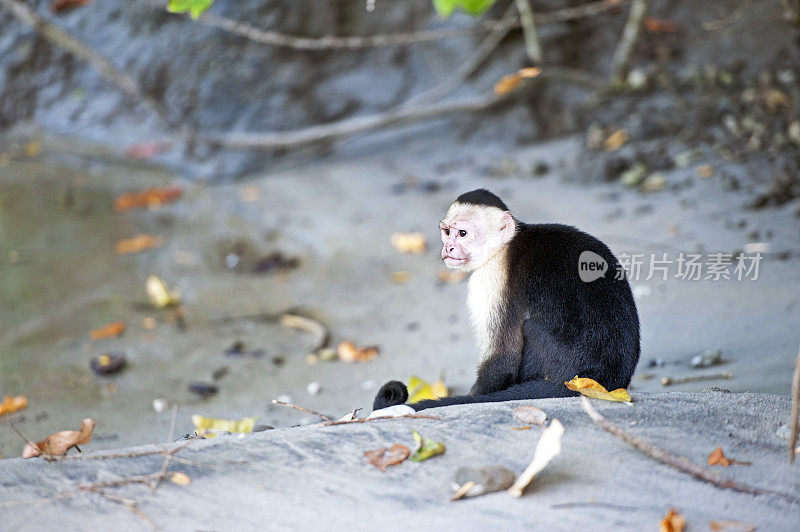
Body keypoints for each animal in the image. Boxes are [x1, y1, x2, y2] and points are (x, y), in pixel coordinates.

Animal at [372, 188, 640, 416]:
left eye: (462, 234)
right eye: (447, 232)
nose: (448, 248)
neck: (503, 247)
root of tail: (598, 381)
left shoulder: (491, 278)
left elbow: (503, 356)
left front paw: (476, 397)